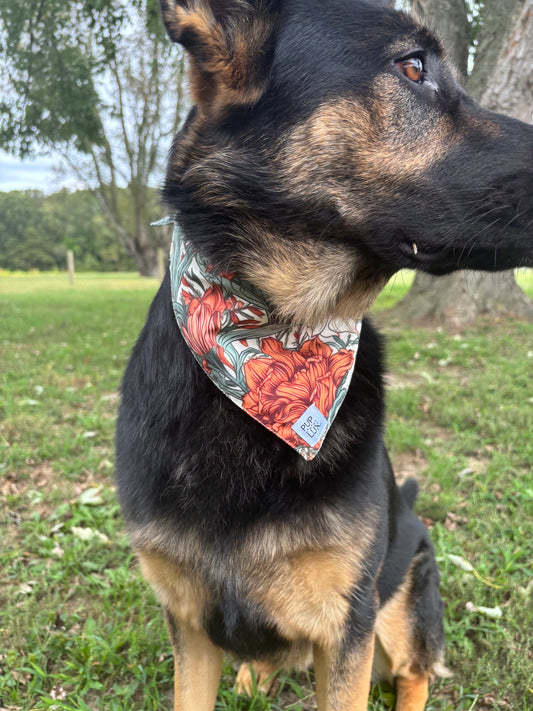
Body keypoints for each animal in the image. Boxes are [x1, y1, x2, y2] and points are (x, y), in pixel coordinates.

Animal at [115, 2, 532, 708]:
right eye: (412, 67)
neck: (276, 330)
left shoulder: (345, 628)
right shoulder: (189, 625)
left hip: (402, 597)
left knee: (416, 672)